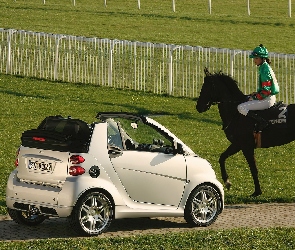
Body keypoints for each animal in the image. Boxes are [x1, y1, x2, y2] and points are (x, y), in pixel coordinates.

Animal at [198, 67, 295, 196]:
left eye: (206, 87)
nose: (198, 106)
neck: (235, 113)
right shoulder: (238, 144)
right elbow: (222, 157)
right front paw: (227, 181)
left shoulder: (246, 146)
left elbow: (253, 168)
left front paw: (257, 191)